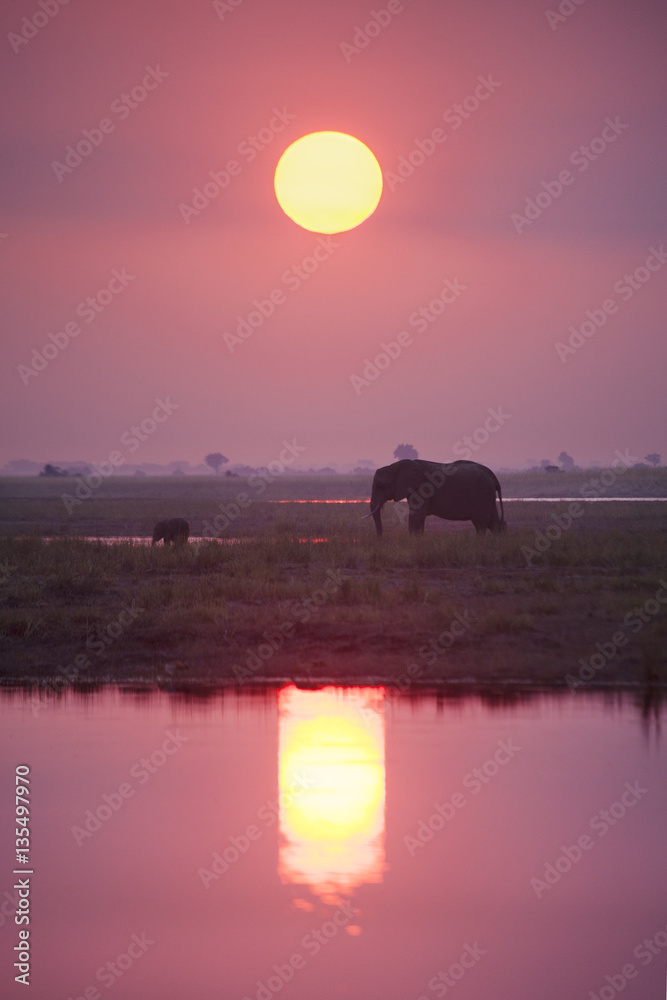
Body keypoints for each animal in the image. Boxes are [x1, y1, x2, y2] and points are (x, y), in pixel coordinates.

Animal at [365, 460, 505, 536]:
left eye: (381, 486)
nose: (380, 539)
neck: (394, 466)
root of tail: (493, 476)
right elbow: (419, 517)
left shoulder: (422, 488)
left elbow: (416, 515)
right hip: (487, 496)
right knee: (493, 522)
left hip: (482, 494)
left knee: (481, 523)